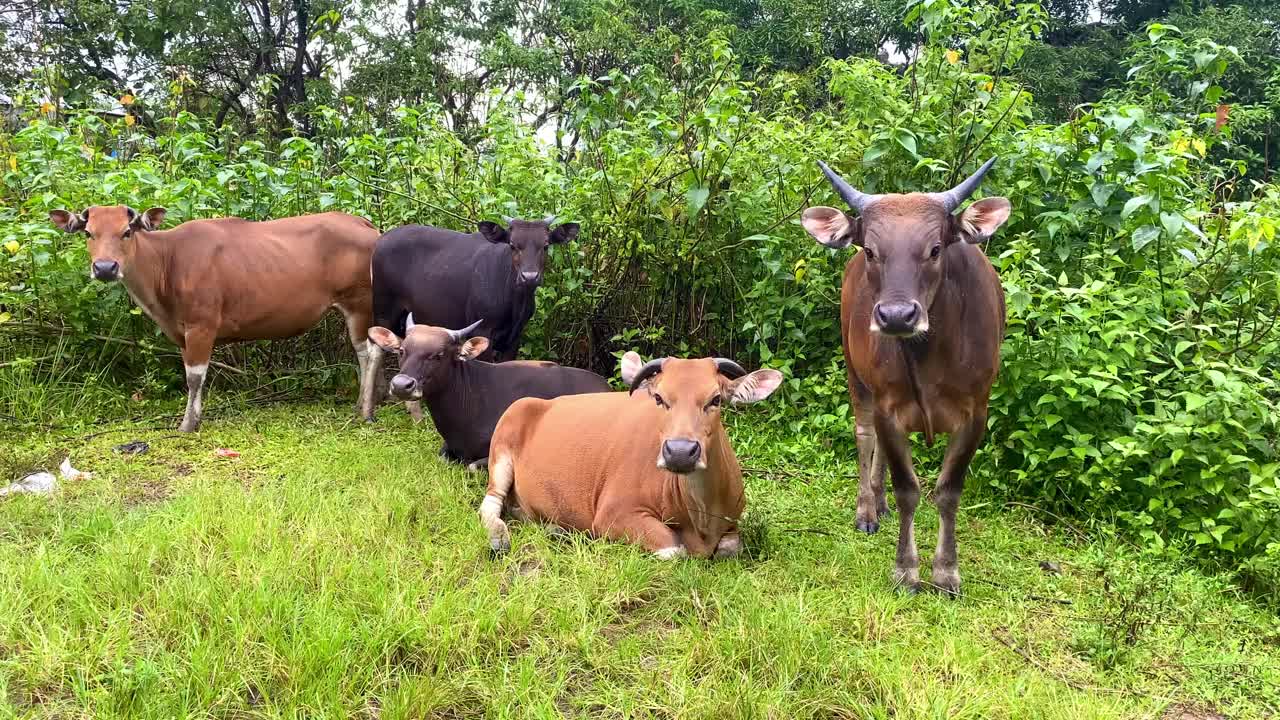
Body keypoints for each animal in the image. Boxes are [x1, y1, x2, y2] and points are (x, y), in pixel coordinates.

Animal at [52, 206, 378, 430]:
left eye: (127, 231)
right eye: (88, 233)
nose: (105, 268)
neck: (167, 262)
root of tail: (366, 225)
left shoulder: (202, 325)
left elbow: (195, 376)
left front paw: (187, 424)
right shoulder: (182, 333)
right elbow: (191, 373)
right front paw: (195, 417)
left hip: (360, 304)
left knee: (369, 353)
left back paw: (366, 409)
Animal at [478, 351, 778, 558]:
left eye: (715, 399)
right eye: (659, 398)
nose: (680, 452)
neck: (700, 513)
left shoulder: (732, 523)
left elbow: (731, 548)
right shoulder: (613, 514)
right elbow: (674, 548)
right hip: (503, 446)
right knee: (490, 503)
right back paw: (500, 537)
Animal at [798, 158, 1008, 594]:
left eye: (935, 248)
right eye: (871, 250)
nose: (896, 316)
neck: (930, 360)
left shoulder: (976, 412)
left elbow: (948, 491)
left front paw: (946, 572)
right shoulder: (888, 406)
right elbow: (908, 489)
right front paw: (907, 570)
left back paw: (878, 505)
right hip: (856, 375)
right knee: (865, 436)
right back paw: (867, 509)